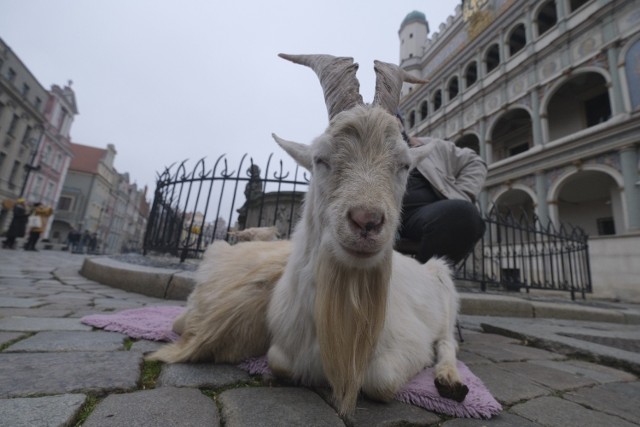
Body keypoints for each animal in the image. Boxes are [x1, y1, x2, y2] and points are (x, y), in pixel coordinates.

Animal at [152, 54, 468, 418]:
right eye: (320, 158)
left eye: (404, 165)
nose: (367, 221)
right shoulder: (284, 347)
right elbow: (279, 362)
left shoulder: (407, 343)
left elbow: (382, 380)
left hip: (446, 288)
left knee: (447, 340)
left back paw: (450, 380)